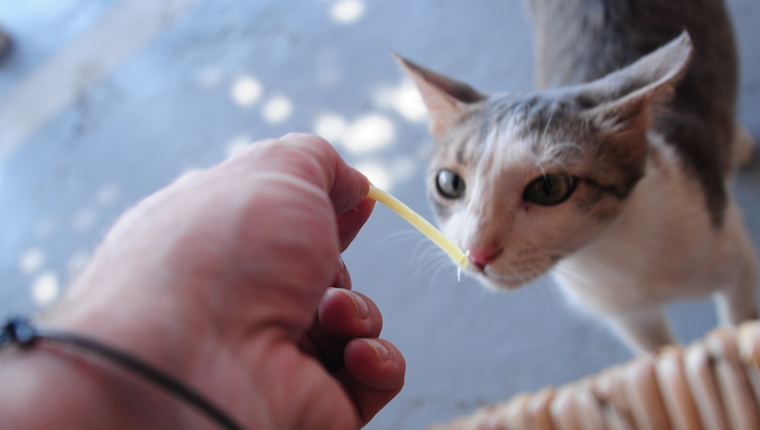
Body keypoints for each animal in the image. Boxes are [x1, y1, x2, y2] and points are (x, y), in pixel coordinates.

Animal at [394, 0, 756, 352]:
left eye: (548, 187)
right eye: (450, 183)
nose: (477, 252)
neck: (608, 253)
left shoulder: (733, 258)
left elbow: (740, 324)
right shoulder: (627, 315)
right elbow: (658, 351)